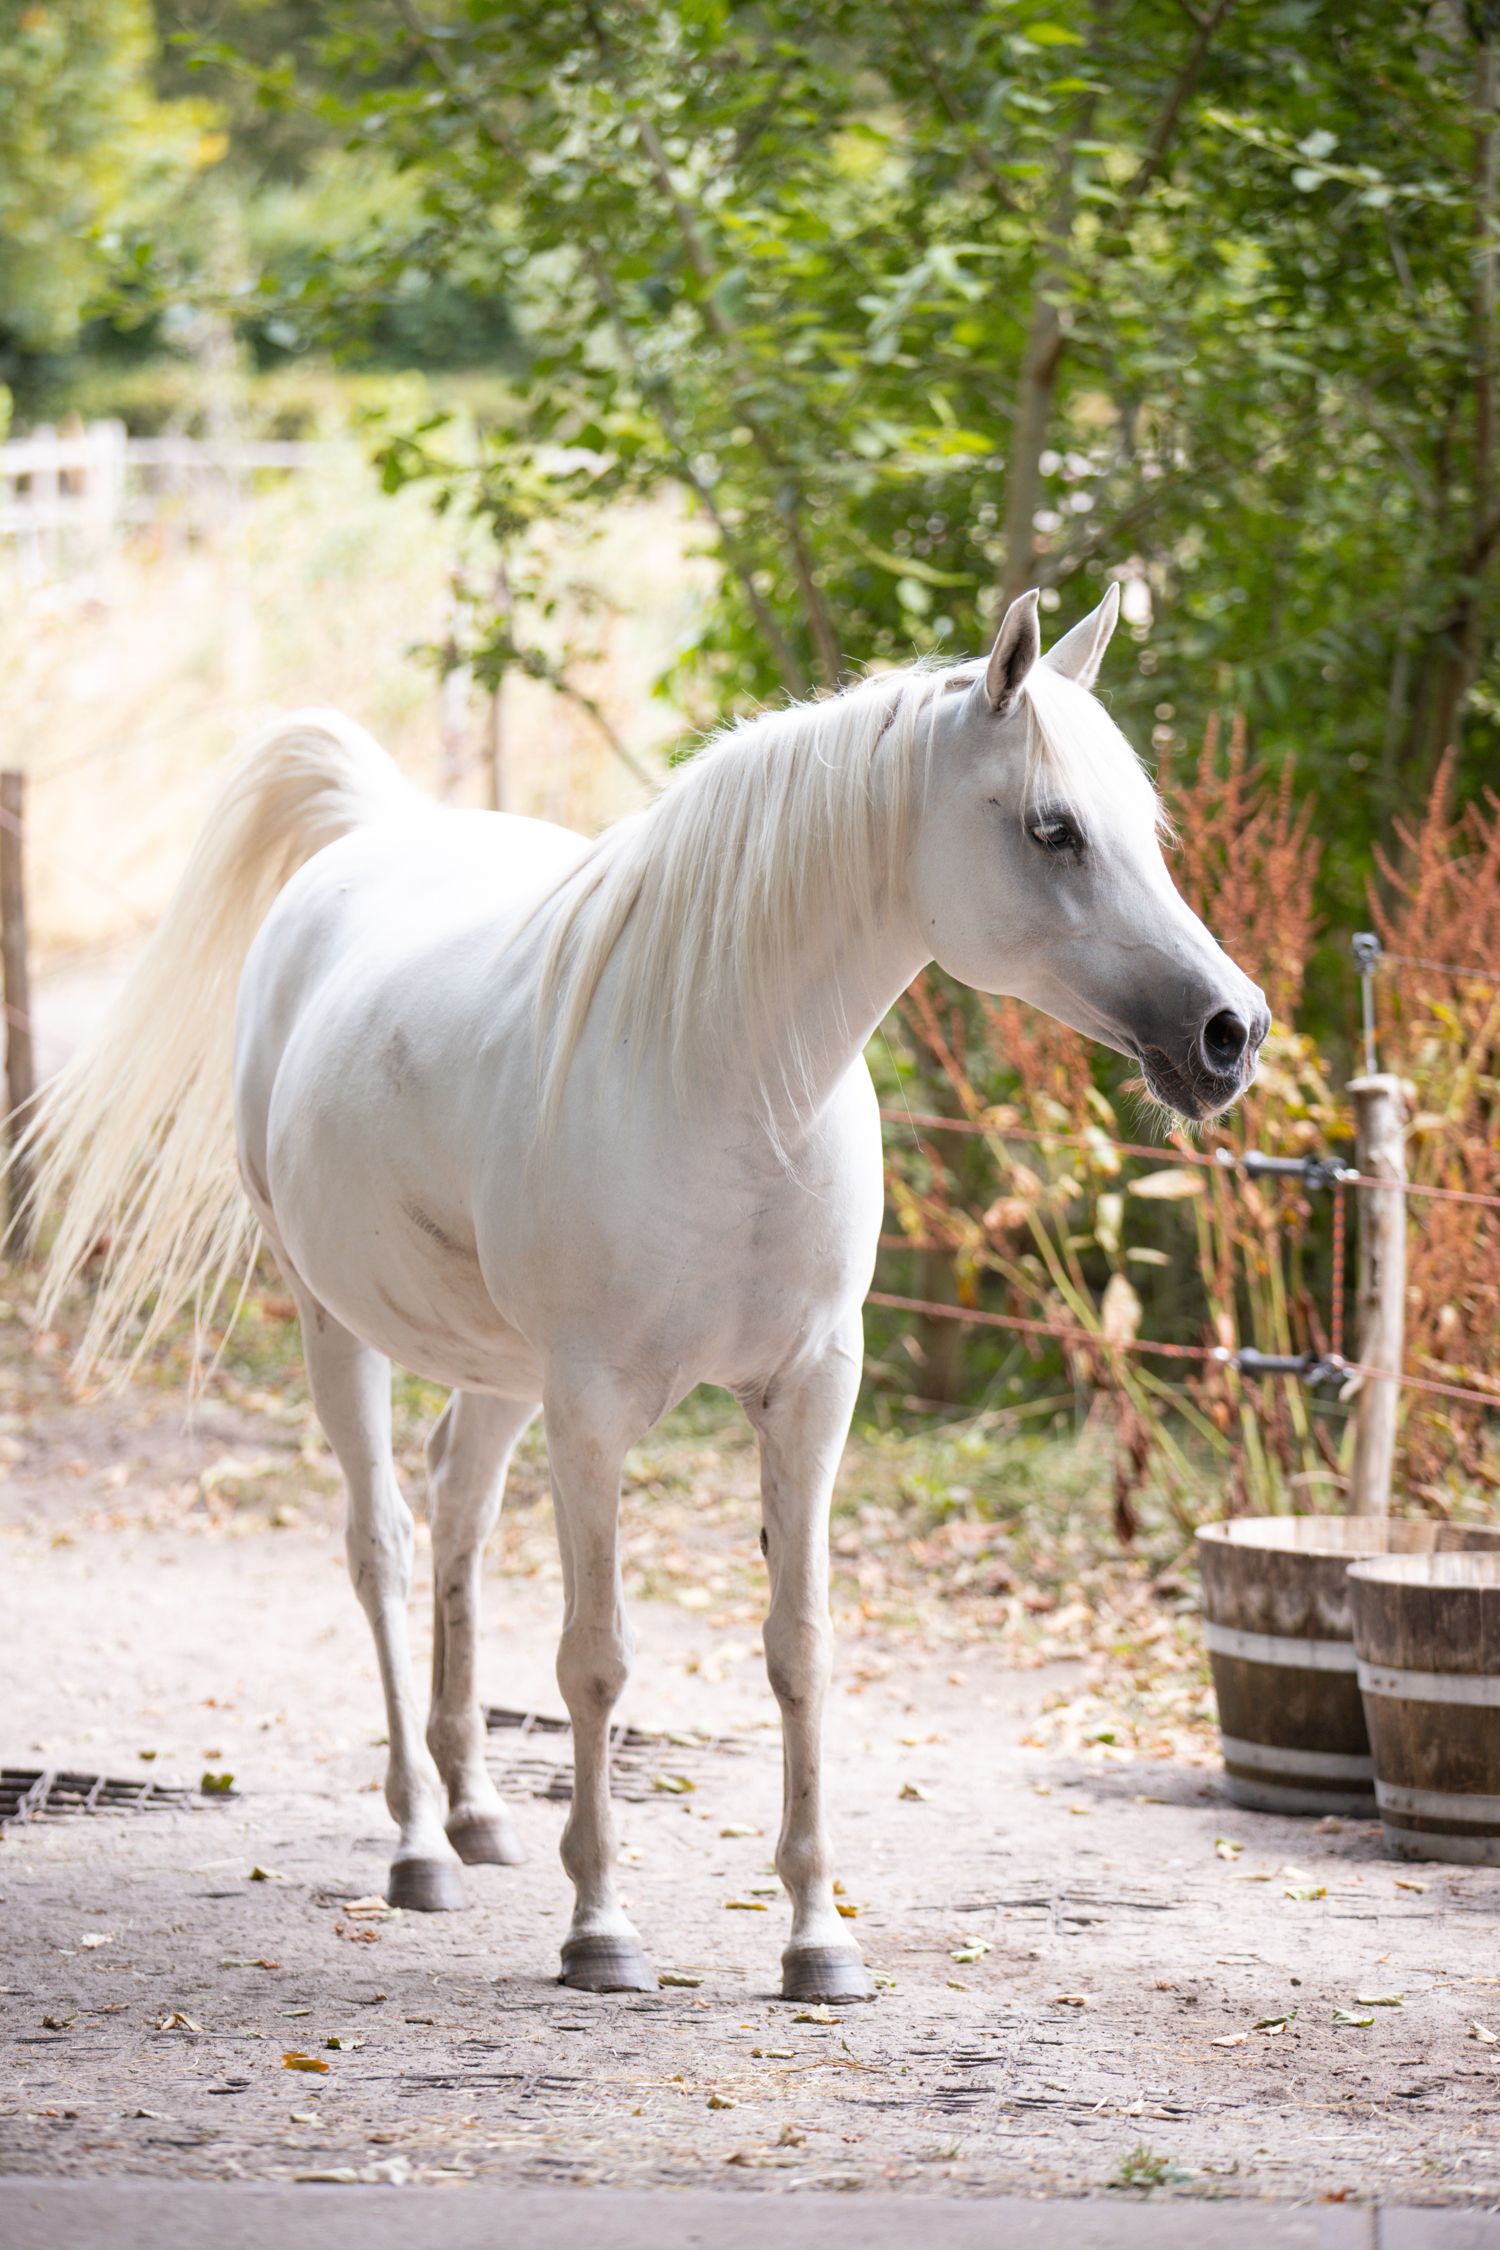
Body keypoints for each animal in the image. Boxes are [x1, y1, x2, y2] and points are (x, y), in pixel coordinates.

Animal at [26, 584, 1268, 2004]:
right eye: (1055, 828)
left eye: (1144, 828)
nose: (1233, 1032)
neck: (731, 1084)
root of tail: (369, 841)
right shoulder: (598, 1408)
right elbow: (597, 1659)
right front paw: (602, 1928)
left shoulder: (808, 1393)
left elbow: (800, 1650)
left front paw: (817, 1938)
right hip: (341, 1328)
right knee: (384, 1545)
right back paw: (420, 1844)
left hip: (500, 1375)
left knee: (457, 1512)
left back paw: (478, 1811)